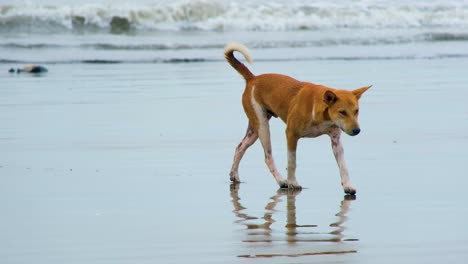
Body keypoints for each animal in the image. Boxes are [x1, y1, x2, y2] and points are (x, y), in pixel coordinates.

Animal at [225, 41, 372, 194]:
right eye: (342, 112)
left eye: (356, 111)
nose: (357, 130)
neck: (320, 109)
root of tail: (252, 78)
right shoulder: (291, 134)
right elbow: (292, 161)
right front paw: (293, 183)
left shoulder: (335, 139)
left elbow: (343, 165)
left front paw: (348, 185)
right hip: (262, 126)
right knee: (268, 157)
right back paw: (282, 181)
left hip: (254, 130)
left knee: (240, 147)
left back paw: (234, 175)